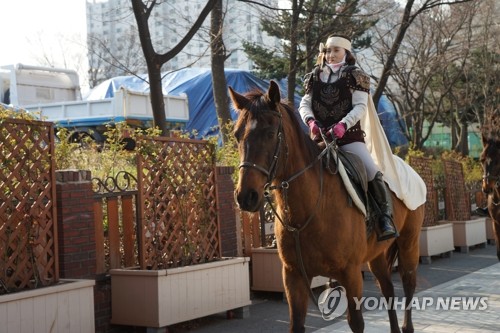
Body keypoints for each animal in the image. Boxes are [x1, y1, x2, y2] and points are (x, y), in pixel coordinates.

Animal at [229, 81, 424, 332]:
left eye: (271, 133)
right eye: (237, 135)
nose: (246, 196)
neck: (310, 211)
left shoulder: (351, 273)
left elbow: (356, 322)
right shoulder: (293, 276)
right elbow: (296, 324)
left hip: (409, 242)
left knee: (408, 284)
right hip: (377, 254)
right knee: (388, 289)